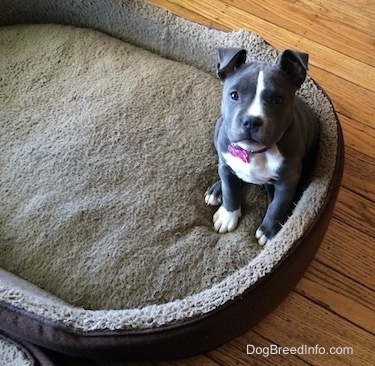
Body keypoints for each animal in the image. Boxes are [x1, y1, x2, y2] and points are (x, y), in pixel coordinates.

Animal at [206, 47, 320, 244]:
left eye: (278, 99)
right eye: (234, 95)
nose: (251, 121)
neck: (254, 152)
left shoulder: (287, 181)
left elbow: (278, 205)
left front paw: (269, 231)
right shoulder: (226, 165)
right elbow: (230, 189)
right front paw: (228, 215)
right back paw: (216, 190)